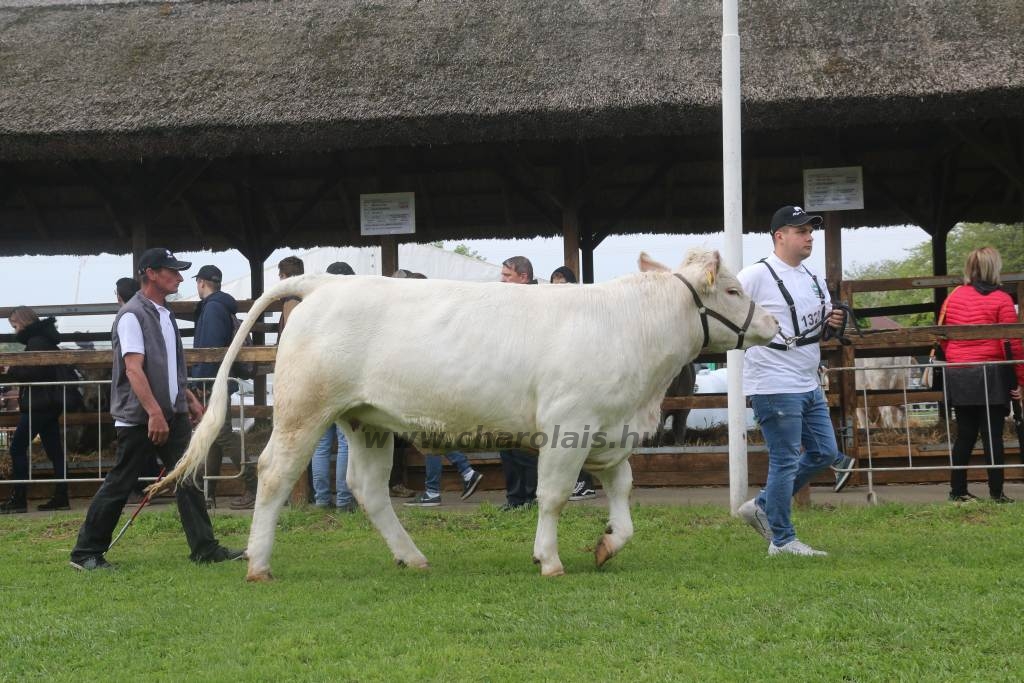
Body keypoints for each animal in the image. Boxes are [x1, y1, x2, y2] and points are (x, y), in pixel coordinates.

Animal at [151, 250, 774, 581]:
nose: (771, 323)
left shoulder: (607, 431)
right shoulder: (567, 426)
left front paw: (608, 543)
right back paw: (258, 562)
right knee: (275, 474)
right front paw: (549, 559)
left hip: (366, 419)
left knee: (368, 489)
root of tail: (325, 282)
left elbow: (622, 492)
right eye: (734, 289)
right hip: (305, 410)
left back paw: (411, 557)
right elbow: (552, 496)